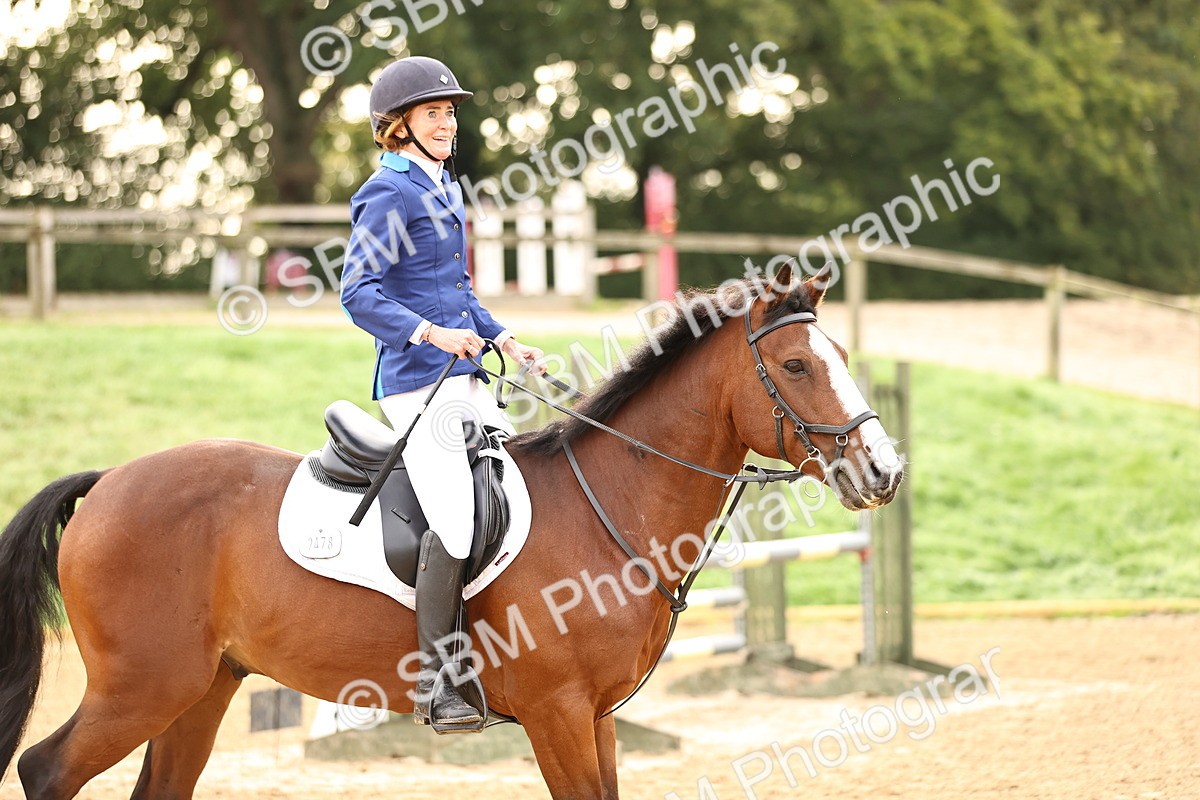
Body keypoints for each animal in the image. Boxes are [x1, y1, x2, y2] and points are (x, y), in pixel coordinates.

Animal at [0, 266, 903, 799]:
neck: (611, 504)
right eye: (795, 366)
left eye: (841, 353)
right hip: (142, 686)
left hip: (201, 688)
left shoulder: (598, 718)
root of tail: (108, 482)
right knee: (45, 770)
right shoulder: (559, 715)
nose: (884, 470)